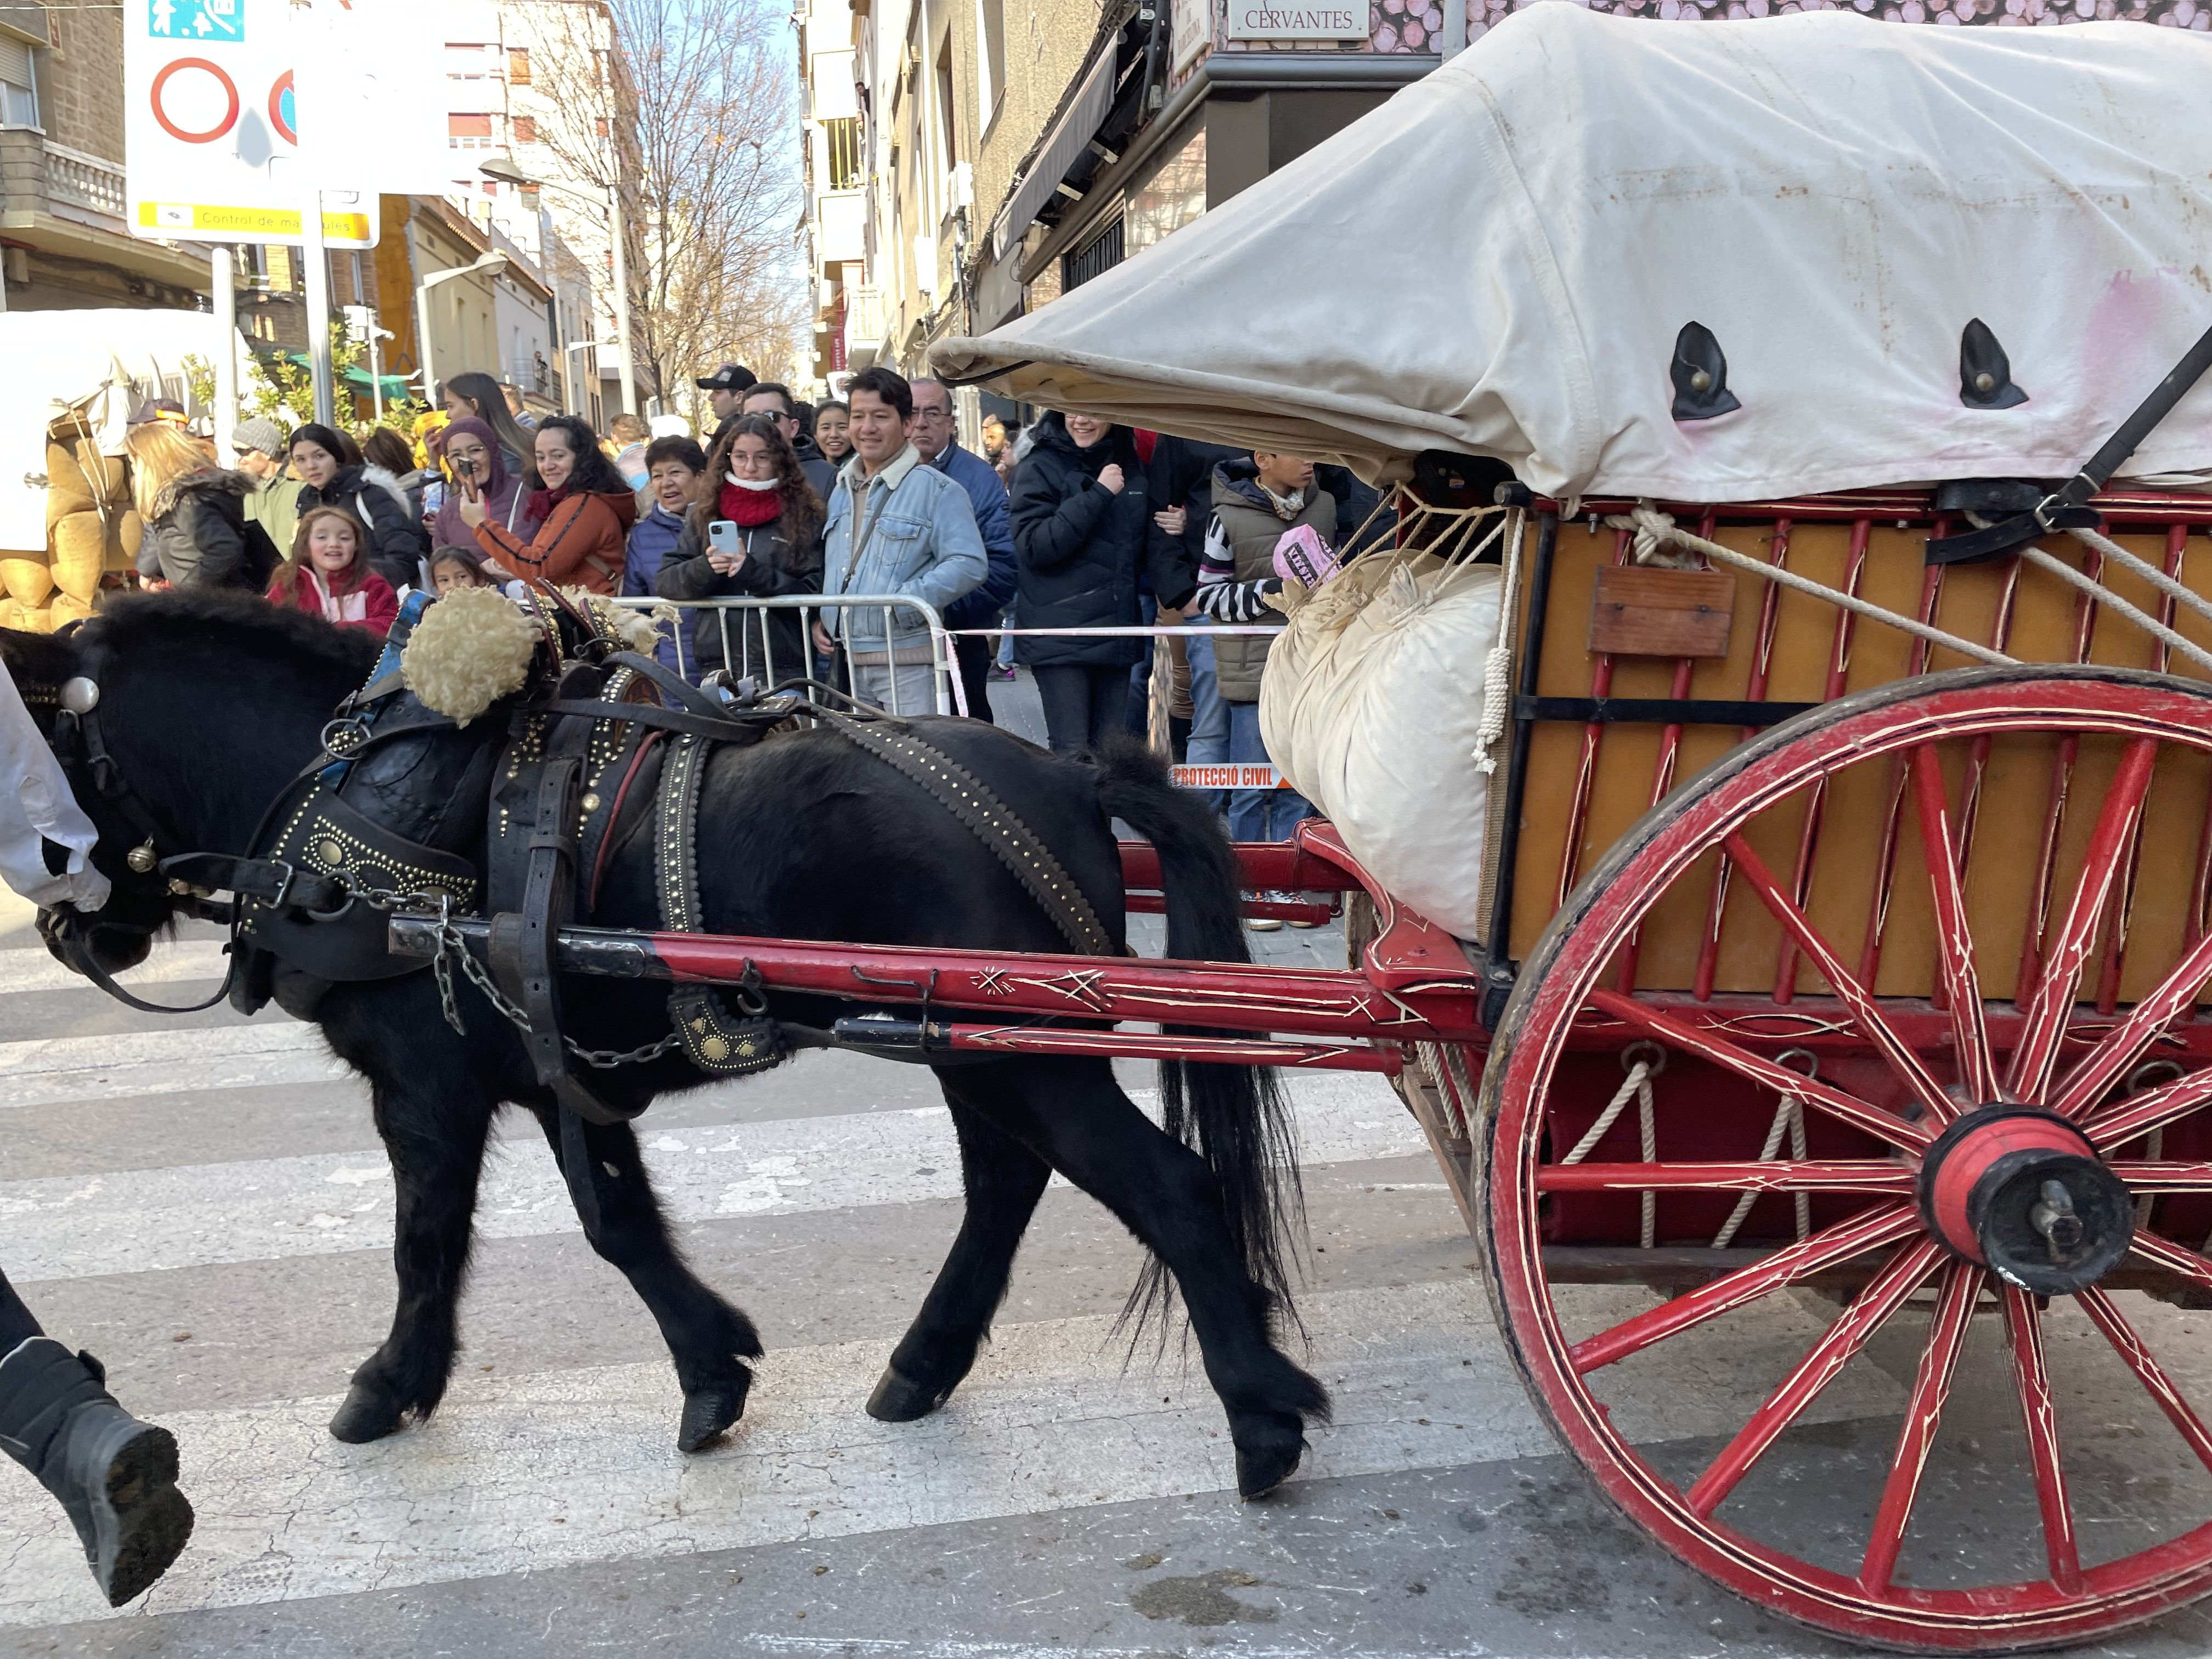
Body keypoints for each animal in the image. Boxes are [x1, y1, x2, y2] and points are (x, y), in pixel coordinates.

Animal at [0, 601, 1327, 1504]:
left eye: (33, 757)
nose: (70, 930)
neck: (348, 796)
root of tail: (1068, 771)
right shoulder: (551, 1068)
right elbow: (618, 1223)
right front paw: (711, 1366)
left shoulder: (425, 1089)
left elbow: (426, 1240)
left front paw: (390, 1381)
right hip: (966, 1044)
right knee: (1006, 1185)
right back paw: (925, 1362)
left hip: (1023, 1055)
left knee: (1169, 1188)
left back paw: (1260, 1413)